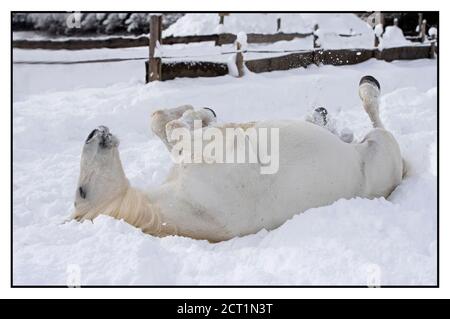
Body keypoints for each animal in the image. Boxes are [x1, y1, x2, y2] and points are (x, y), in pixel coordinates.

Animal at [73, 77, 404, 242]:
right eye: (81, 193)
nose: (94, 133)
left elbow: (162, 123)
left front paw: (201, 111)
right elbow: (174, 127)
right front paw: (198, 114)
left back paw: (325, 116)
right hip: (381, 146)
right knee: (374, 116)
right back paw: (364, 87)